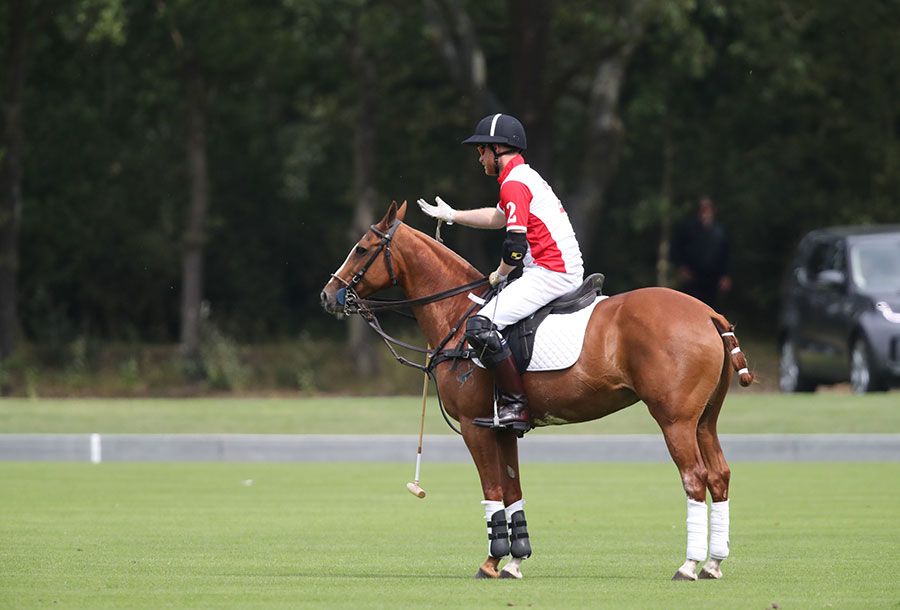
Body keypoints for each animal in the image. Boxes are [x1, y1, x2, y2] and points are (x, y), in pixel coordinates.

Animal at [318, 201, 752, 580]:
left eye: (362, 248)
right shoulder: (503, 427)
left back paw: (688, 566)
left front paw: (490, 562)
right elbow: (513, 489)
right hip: (704, 419)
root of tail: (708, 313)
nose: (327, 295)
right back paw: (713, 564)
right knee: (720, 475)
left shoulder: (475, 425)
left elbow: (492, 489)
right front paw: (515, 561)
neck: (458, 313)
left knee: (694, 478)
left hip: (674, 419)